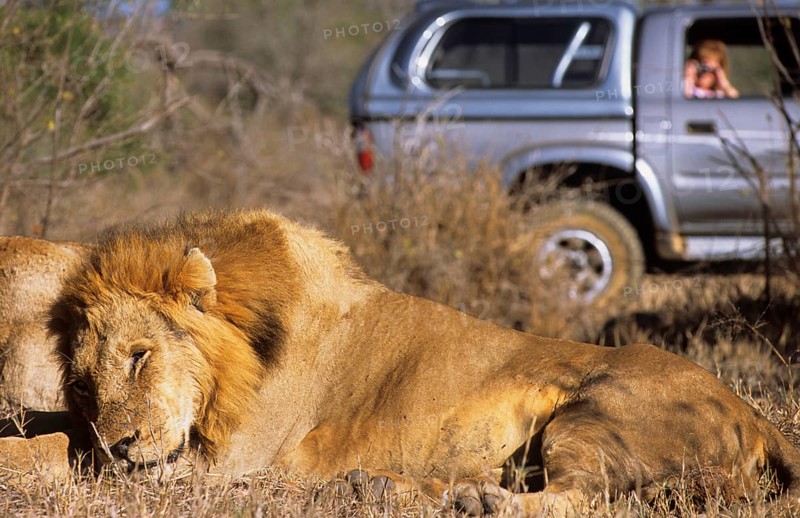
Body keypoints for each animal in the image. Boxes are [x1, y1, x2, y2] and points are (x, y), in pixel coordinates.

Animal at [0, 209, 798, 515]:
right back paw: (382, 486)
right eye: (85, 378)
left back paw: (476, 502)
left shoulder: (220, 459)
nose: (123, 441)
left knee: (585, 498)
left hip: (594, 413)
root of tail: (754, 413)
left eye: (140, 356)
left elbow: (64, 449)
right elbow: (62, 435)